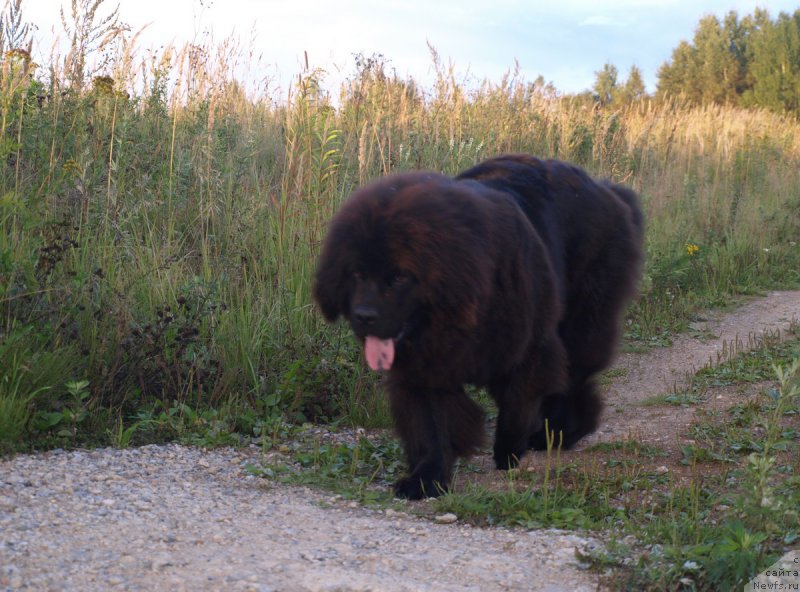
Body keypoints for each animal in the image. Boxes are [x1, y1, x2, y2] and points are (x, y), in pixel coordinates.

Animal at [312, 154, 644, 500]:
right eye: (356, 274)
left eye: (400, 277)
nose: (364, 315)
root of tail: (608, 190)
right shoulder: (426, 367)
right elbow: (430, 424)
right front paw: (426, 478)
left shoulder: (527, 347)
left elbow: (518, 402)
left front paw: (508, 451)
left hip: (584, 316)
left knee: (575, 373)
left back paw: (559, 430)